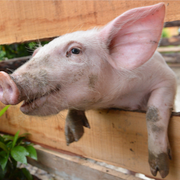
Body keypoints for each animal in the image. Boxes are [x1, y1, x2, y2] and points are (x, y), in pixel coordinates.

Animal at [0, 2, 176, 179]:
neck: (118, 100)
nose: (5, 78)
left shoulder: (167, 79)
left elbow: (153, 113)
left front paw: (160, 171)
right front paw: (72, 139)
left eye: (75, 51)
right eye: (36, 53)